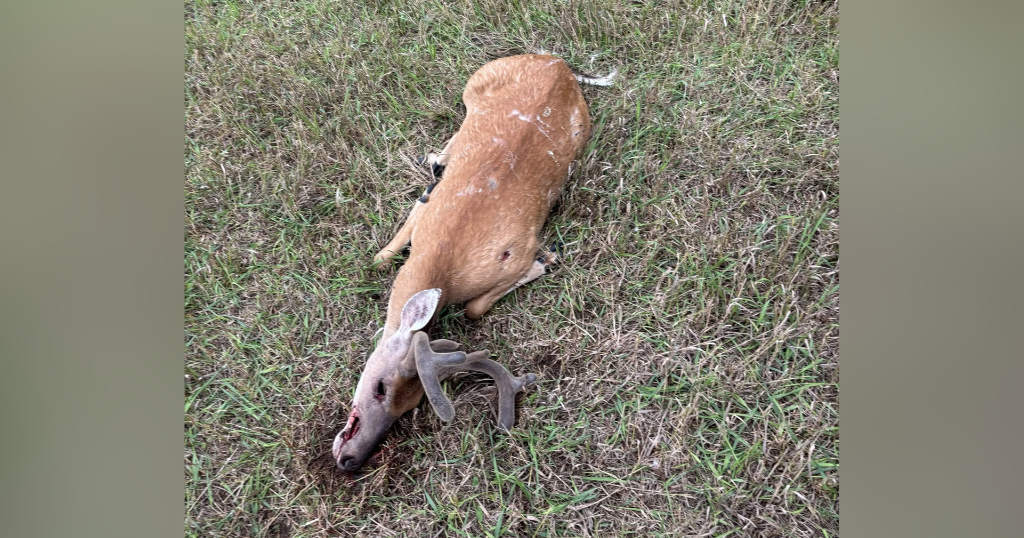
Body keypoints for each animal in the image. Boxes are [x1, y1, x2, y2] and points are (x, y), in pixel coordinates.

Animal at [332, 53, 613, 471]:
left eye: (406, 407)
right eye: (380, 388)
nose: (352, 459)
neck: (446, 259)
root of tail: (558, 63)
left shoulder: (515, 249)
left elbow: (474, 308)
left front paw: (547, 260)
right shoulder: (428, 213)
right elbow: (382, 258)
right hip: (476, 82)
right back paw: (433, 159)